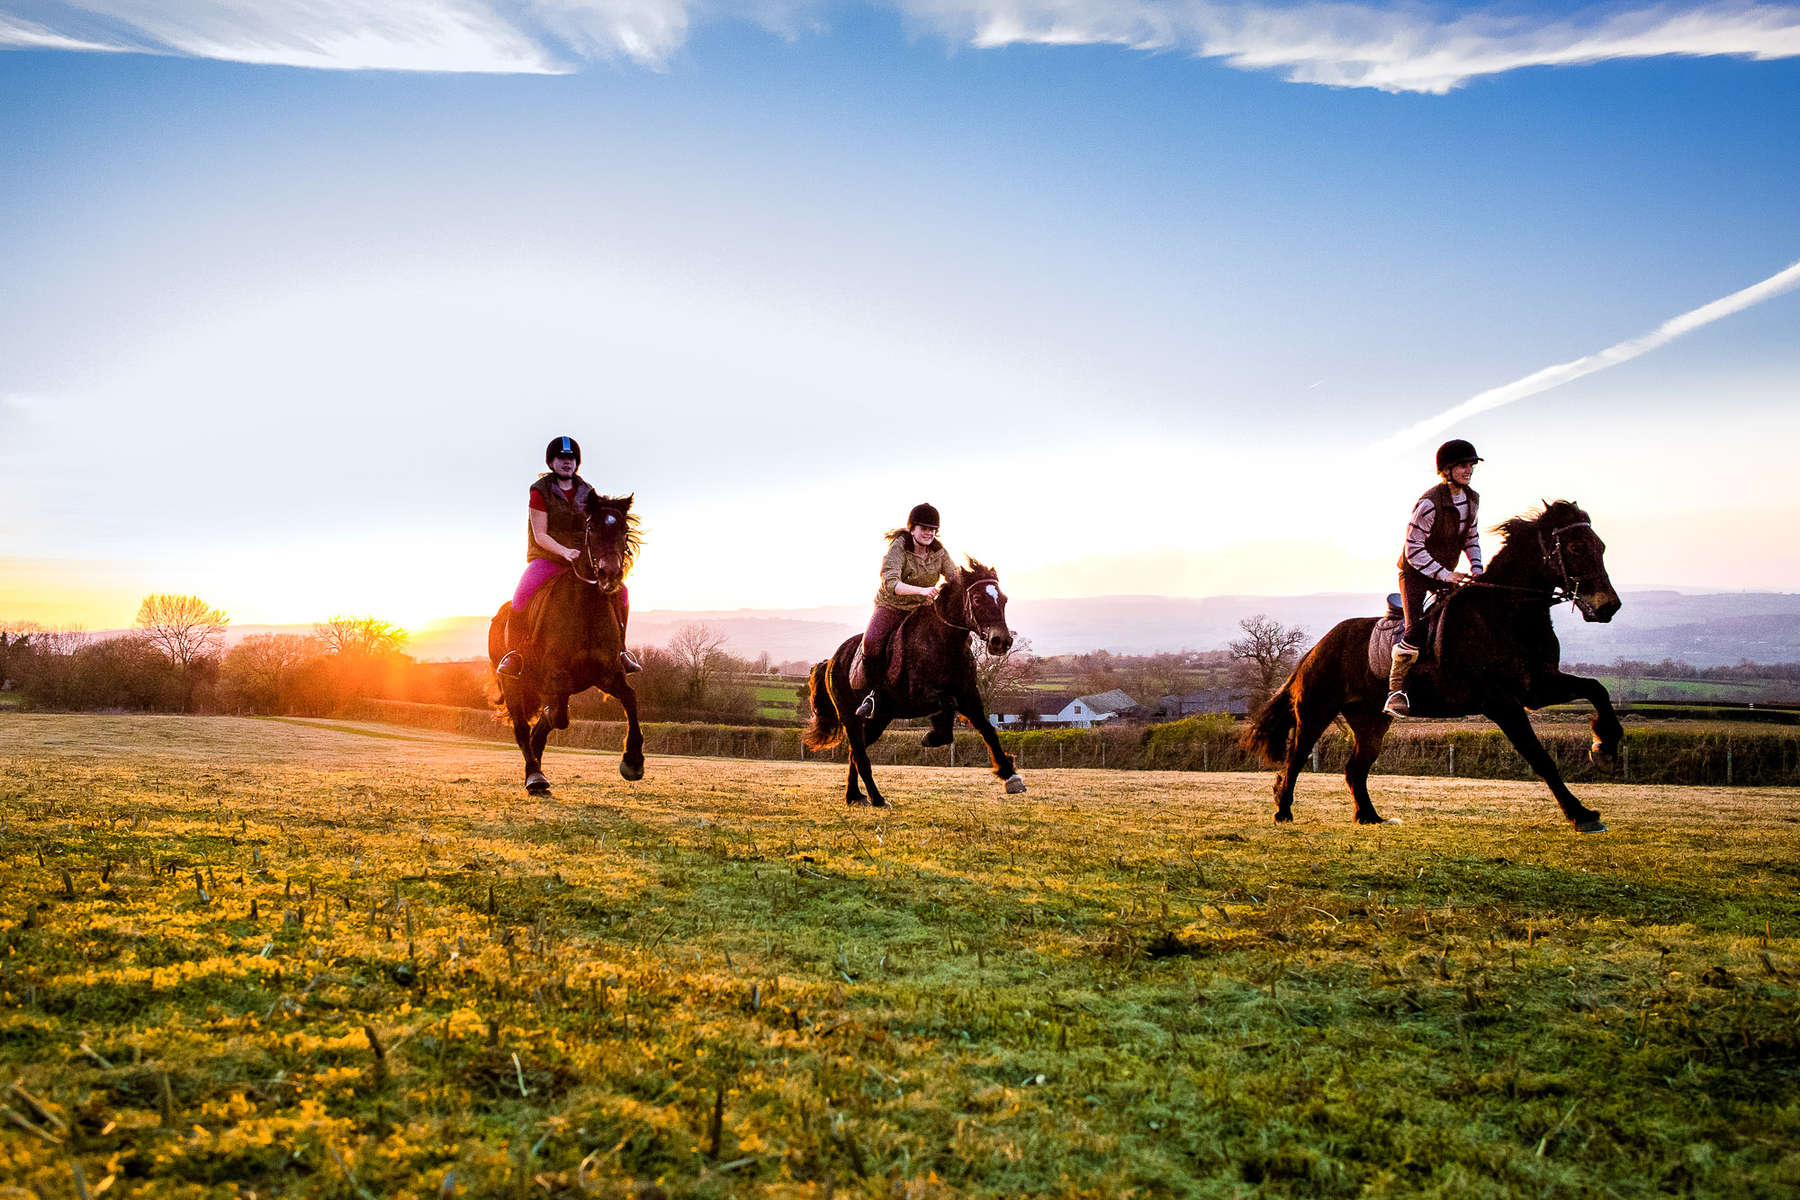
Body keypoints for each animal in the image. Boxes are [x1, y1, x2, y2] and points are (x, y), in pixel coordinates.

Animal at [489, 492, 644, 791]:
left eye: (623, 530)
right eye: (591, 528)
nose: (609, 574)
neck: (586, 609)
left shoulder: (608, 673)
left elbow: (631, 699)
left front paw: (632, 762)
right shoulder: (557, 676)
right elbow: (557, 716)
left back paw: (537, 771)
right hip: (512, 682)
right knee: (522, 728)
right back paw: (534, 775)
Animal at [806, 561, 1029, 805]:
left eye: (1004, 599)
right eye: (978, 599)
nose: (1001, 641)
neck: (943, 642)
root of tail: (831, 661)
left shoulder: (969, 697)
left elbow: (987, 731)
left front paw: (1011, 776)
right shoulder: (918, 699)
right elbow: (948, 704)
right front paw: (933, 736)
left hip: (880, 719)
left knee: (855, 753)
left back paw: (854, 795)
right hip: (850, 717)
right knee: (859, 754)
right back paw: (877, 799)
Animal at [1245, 503, 1627, 831]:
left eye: (1601, 547)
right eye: (1576, 547)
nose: (1609, 607)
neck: (1506, 612)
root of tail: (1315, 650)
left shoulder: (1537, 687)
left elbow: (1596, 688)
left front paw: (1605, 747)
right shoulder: (1502, 703)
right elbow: (1539, 756)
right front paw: (1581, 814)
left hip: (1371, 721)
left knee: (1354, 769)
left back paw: (1369, 816)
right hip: (1316, 712)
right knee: (1296, 758)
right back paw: (1282, 810)